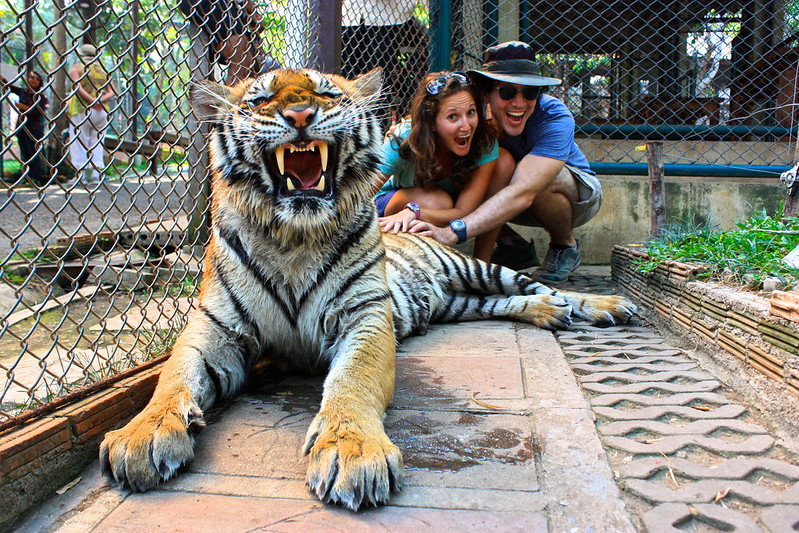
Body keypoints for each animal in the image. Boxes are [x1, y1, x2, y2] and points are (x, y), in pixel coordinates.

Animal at [99, 68, 636, 511]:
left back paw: (605, 304)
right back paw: (546, 311)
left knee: (537, 285)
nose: (300, 114)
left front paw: (351, 451)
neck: (294, 238)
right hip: (463, 302)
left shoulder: (365, 317)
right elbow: (174, 377)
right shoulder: (217, 327)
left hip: (478, 269)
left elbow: (352, 381)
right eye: (262, 99)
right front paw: (141, 435)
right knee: (508, 301)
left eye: (326, 93)